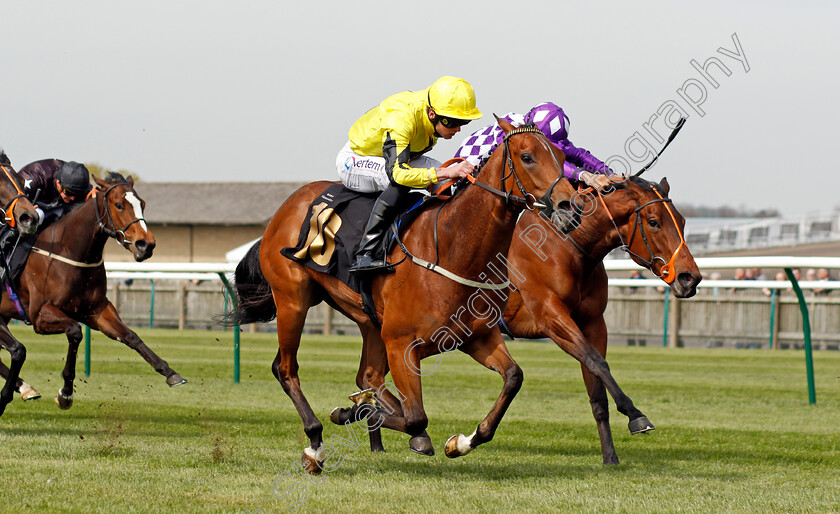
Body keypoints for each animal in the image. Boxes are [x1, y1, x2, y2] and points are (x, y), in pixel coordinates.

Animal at [0, 172, 187, 408]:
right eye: (118, 205)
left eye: (142, 204)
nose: (146, 245)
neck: (71, 251)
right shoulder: (40, 316)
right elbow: (75, 331)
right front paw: (65, 393)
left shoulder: (96, 310)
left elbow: (130, 336)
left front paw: (170, 372)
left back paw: (25, 387)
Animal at [233, 117, 580, 472]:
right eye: (527, 157)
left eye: (561, 156)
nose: (571, 207)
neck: (453, 249)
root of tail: (286, 208)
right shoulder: (402, 344)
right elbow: (415, 418)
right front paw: (355, 414)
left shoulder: (476, 336)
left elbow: (513, 377)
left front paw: (461, 442)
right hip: (294, 299)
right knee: (286, 368)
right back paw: (315, 443)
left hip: (368, 321)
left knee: (367, 376)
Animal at [336, 174, 704, 462]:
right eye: (654, 221)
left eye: (684, 222)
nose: (691, 278)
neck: (567, 245)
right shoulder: (550, 315)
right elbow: (596, 361)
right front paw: (636, 415)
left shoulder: (593, 322)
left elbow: (596, 386)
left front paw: (610, 457)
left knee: (369, 377)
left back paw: (372, 428)